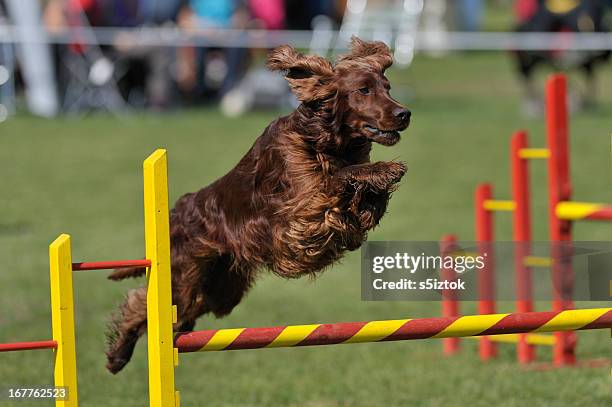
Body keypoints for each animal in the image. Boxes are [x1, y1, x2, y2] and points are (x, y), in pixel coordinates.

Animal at [105, 36, 412, 374]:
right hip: (184, 275)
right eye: (363, 89)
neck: (326, 141)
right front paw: (384, 170)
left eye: (387, 87)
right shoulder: (304, 205)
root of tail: (176, 212)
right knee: (140, 303)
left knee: (178, 313)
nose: (404, 113)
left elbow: (363, 203)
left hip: (219, 288)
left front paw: (372, 191)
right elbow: (338, 181)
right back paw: (117, 356)